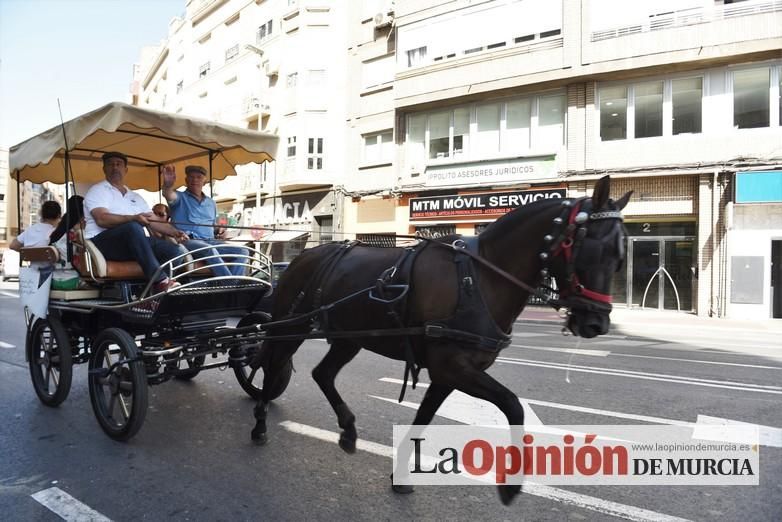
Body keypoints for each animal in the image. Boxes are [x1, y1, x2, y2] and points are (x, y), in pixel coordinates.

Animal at [250, 176, 632, 504]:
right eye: (592, 247)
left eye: (620, 256)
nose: (596, 322)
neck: (481, 277)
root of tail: (303, 255)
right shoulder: (454, 367)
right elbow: (512, 405)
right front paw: (510, 484)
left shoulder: (449, 373)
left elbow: (424, 417)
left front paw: (401, 476)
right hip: (291, 326)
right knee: (271, 365)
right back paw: (260, 422)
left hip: (349, 337)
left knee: (323, 374)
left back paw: (346, 429)